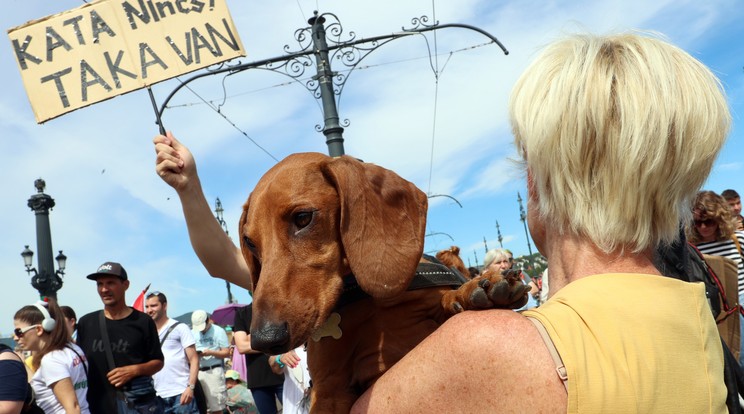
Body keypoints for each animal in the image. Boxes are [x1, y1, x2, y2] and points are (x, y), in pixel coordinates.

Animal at [240, 154, 528, 412]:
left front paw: (471, 290)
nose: (264, 340)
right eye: (250, 243)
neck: (368, 299)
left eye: (302, 218)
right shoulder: (329, 389)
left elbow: (445, 299)